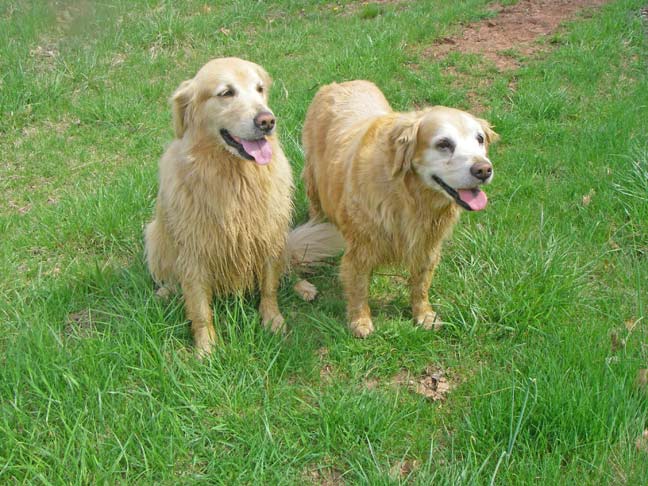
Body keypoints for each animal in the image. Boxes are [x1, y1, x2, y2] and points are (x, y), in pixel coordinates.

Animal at [146, 58, 312, 356]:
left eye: (260, 88)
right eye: (226, 93)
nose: (267, 120)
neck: (235, 178)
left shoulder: (267, 235)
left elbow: (269, 287)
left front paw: (272, 320)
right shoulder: (194, 251)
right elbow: (200, 308)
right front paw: (206, 348)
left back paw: (302, 287)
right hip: (154, 235)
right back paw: (165, 292)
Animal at [296, 80, 498, 338]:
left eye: (479, 139)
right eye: (443, 144)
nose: (484, 170)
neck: (409, 197)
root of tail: (338, 83)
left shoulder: (428, 245)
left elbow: (421, 284)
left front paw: (423, 315)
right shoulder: (360, 248)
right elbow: (359, 287)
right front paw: (360, 320)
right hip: (314, 179)